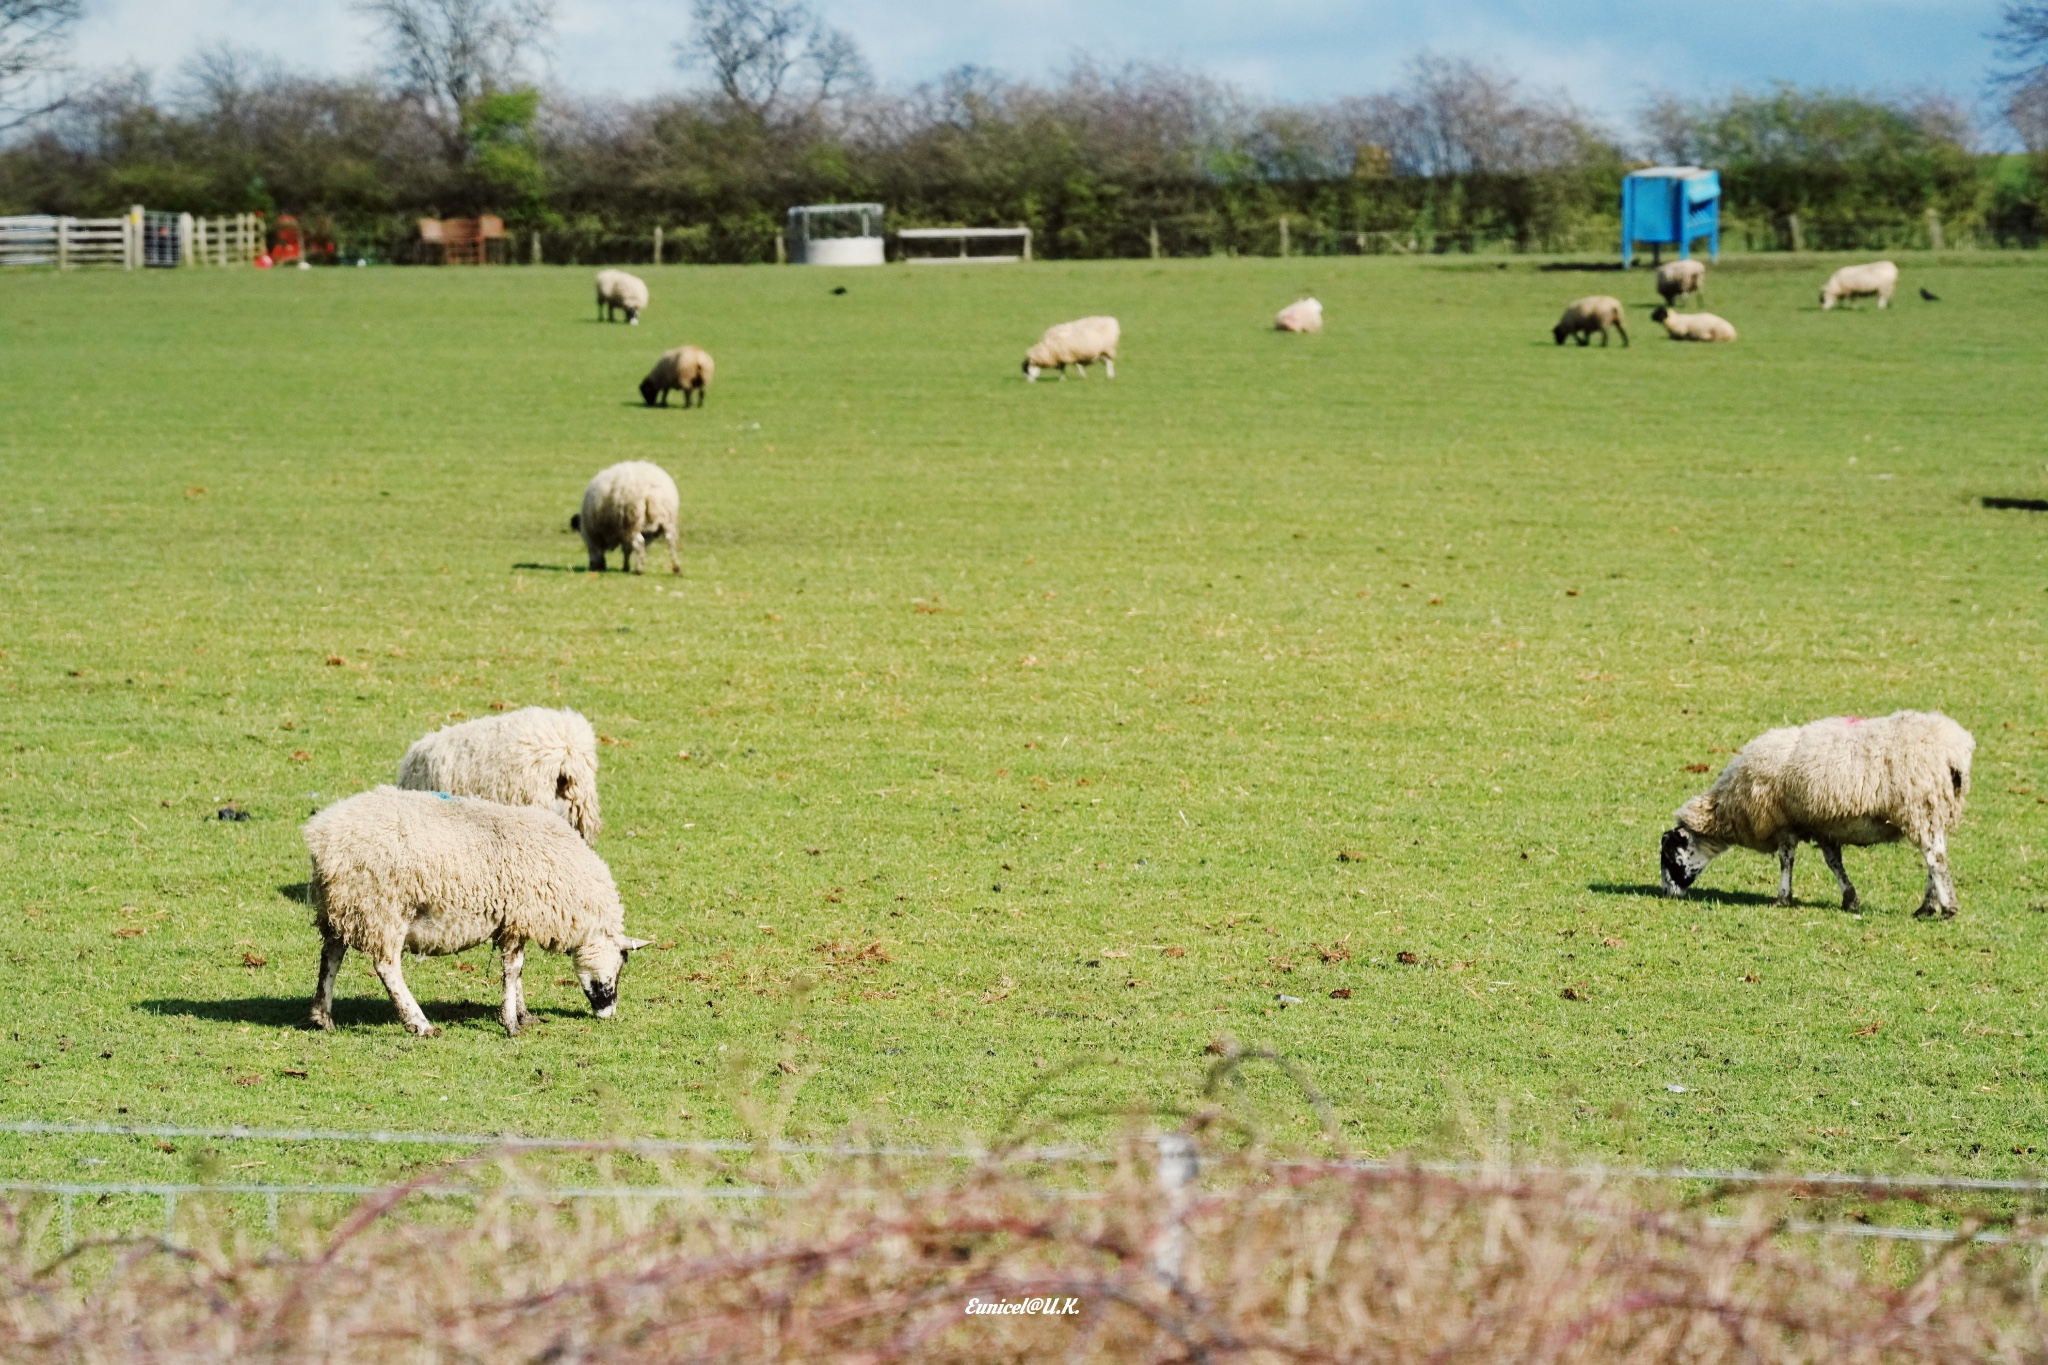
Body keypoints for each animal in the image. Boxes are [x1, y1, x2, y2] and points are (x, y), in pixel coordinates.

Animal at [296, 785, 643, 1039]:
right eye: (620, 964)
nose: (607, 1013)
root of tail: (322, 837)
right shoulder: (518, 918)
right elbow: (513, 971)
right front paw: (511, 1024)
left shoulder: (512, 921)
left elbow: (516, 971)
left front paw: (524, 1015)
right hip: (383, 908)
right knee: (386, 966)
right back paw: (419, 1023)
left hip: (341, 907)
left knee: (331, 957)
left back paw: (322, 1017)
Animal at [1654, 712, 1974, 925]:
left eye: (1669, 854)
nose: (1668, 894)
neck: (1729, 804)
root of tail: (1955, 749)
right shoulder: (1823, 827)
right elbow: (1834, 863)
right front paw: (1849, 898)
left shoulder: (1784, 824)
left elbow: (1786, 860)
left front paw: (1782, 897)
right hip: (1935, 809)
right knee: (1935, 859)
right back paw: (1927, 906)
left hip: (1920, 805)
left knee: (1935, 858)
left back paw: (1947, 909)